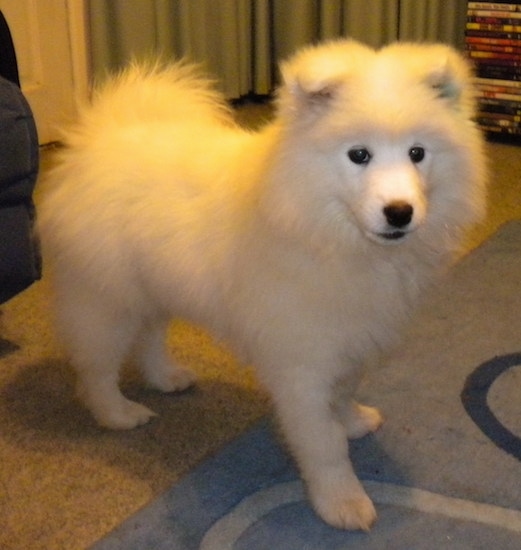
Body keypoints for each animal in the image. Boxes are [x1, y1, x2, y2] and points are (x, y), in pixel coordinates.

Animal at [38, 41, 486, 532]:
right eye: (359, 155)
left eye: (417, 153)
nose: (400, 212)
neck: (322, 229)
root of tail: (100, 136)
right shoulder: (300, 362)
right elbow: (324, 443)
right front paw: (342, 502)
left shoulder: (348, 340)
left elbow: (343, 394)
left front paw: (352, 421)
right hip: (106, 298)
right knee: (96, 367)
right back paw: (118, 414)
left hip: (152, 287)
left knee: (150, 337)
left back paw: (166, 378)